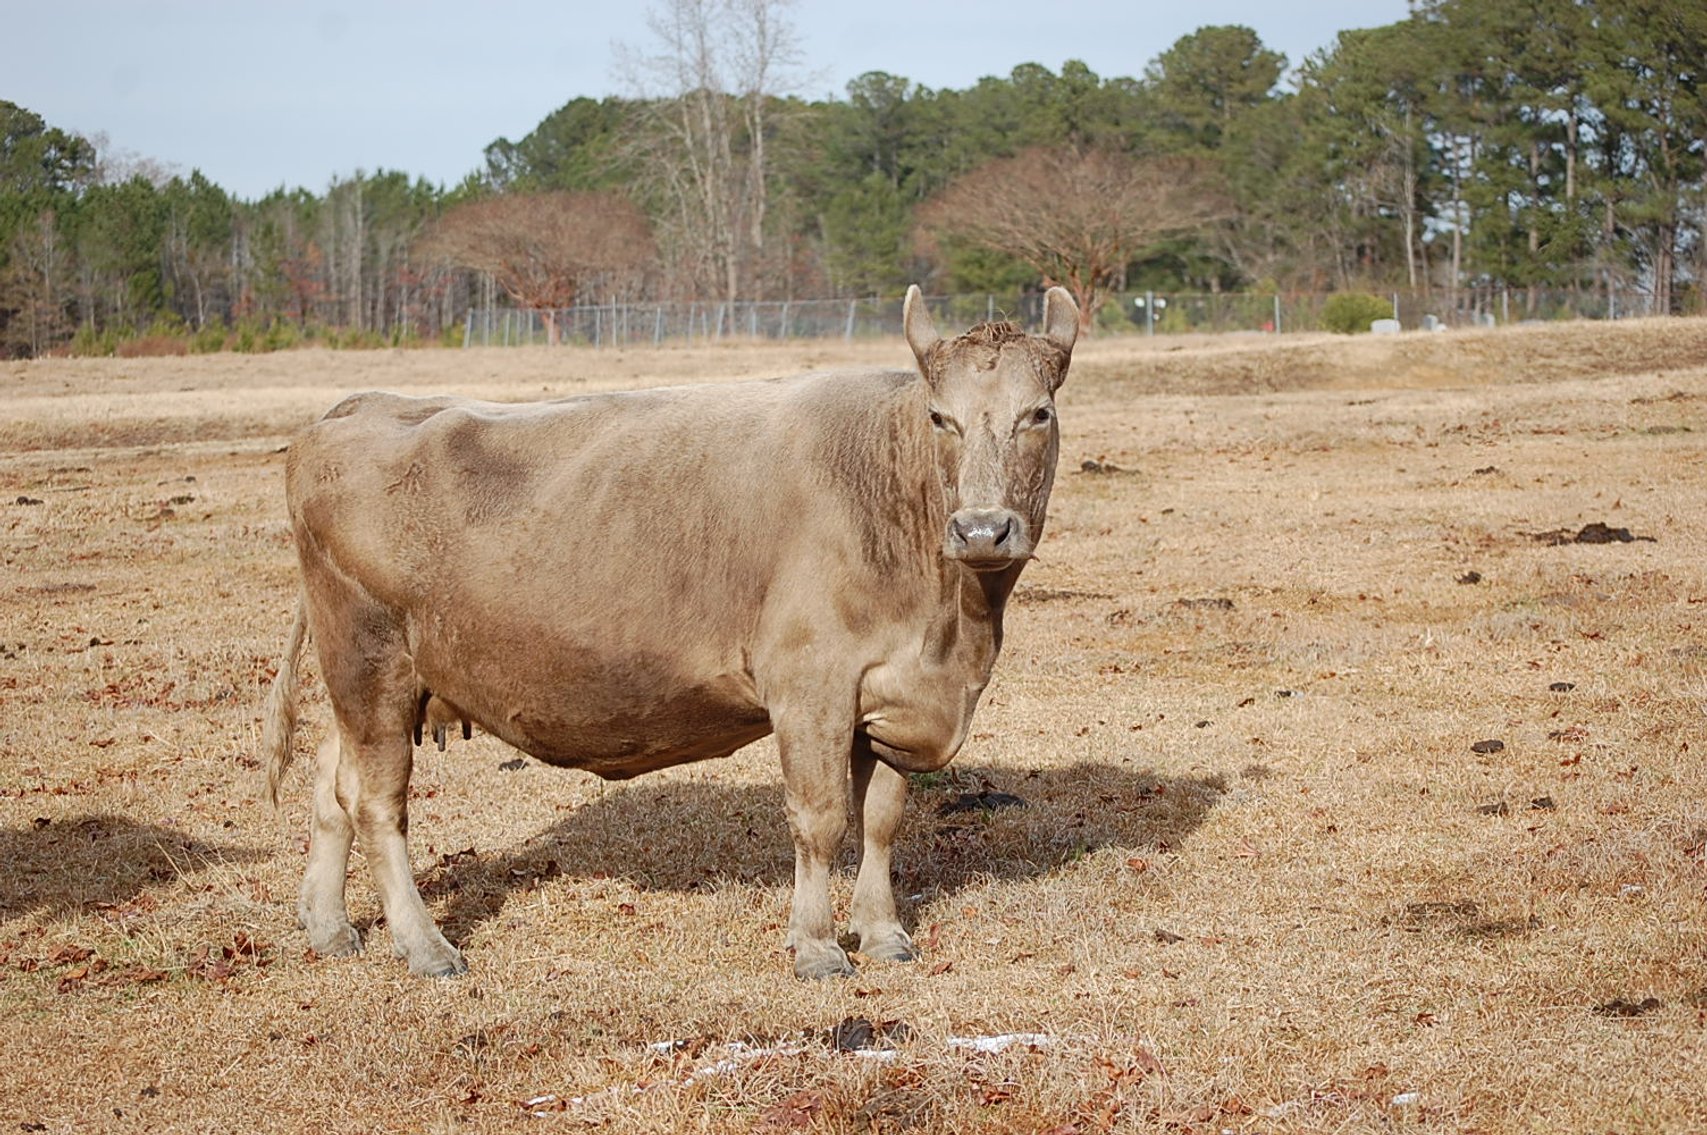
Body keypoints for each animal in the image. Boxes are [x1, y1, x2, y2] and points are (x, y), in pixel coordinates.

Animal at [261, 284, 1079, 979]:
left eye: (1037, 413)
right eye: (941, 416)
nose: (981, 528)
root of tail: (357, 406)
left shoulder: (888, 696)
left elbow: (880, 819)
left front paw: (882, 935)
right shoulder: (810, 684)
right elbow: (819, 820)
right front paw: (816, 946)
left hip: (370, 675)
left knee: (333, 788)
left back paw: (329, 926)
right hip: (369, 661)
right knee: (378, 803)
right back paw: (424, 944)